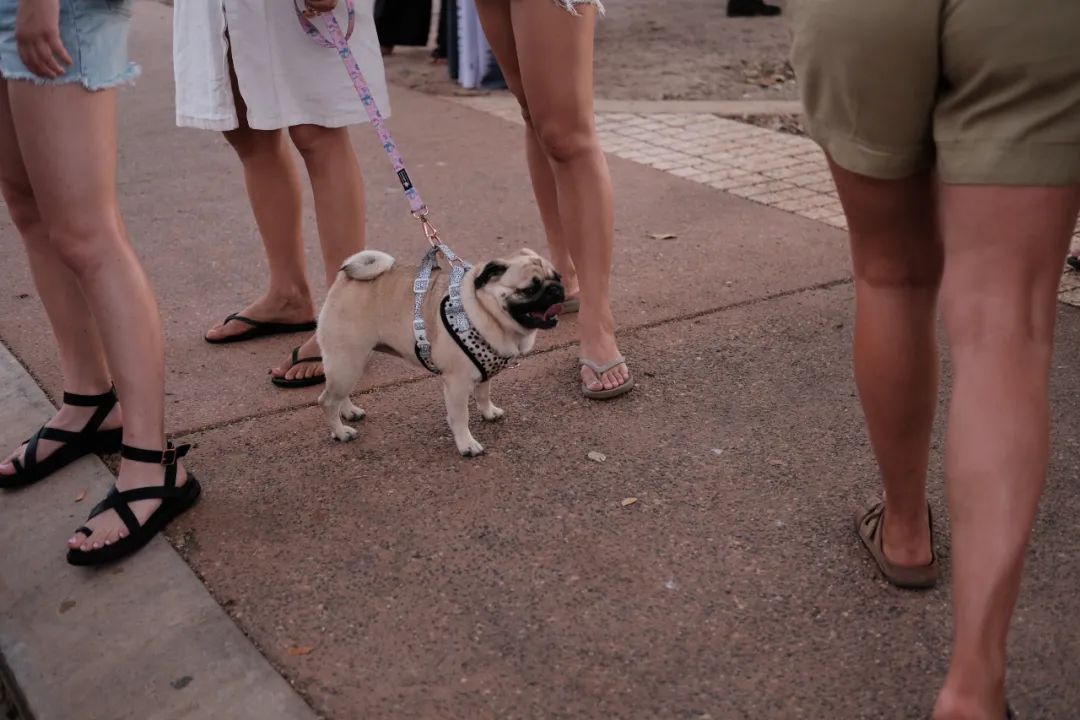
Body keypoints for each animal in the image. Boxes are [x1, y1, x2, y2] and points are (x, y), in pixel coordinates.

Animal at [315, 248, 565, 455]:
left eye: (558, 277)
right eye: (529, 289)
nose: (557, 289)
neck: (485, 310)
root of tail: (345, 279)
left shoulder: (484, 372)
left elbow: (483, 395)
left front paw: (489, 412)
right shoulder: (457, 385)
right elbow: (460, 417)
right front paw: (467, 445)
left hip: (353, 362)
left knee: (340, 395)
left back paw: (349, 412)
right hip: (347, 361)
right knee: (328, 401)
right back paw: (341, 432)